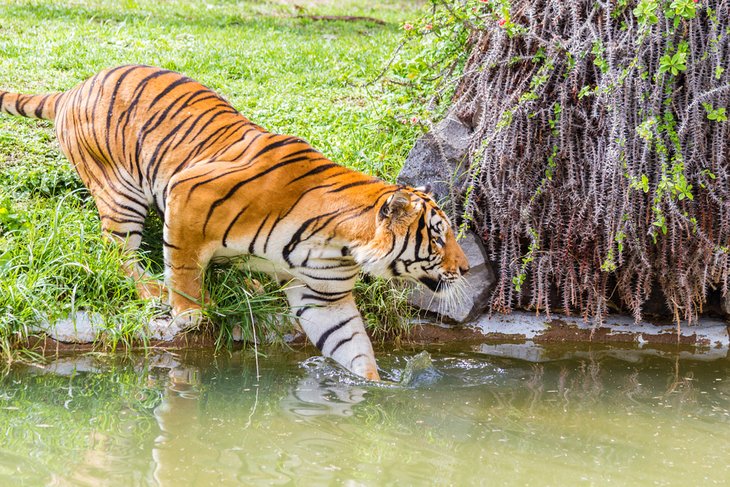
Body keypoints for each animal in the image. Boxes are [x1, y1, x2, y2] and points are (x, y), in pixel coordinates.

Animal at [0, 66, 466, 382]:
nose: (465, 269)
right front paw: (189, 314)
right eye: (438, 236)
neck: (340, 245)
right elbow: (184, 269)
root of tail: (74, 88)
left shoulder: (324, 296)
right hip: (120, 193)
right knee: (119, 254)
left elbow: (350, 344)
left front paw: (372, 388)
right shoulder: (188, 193)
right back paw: (154, 290)